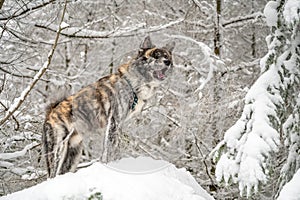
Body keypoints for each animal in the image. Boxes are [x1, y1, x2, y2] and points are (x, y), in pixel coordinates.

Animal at [41, 36, 173, 178]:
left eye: (167, 56)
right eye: (156, 55)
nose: (167, 62)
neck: (133, 84)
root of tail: (51, 113)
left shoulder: (118, 126)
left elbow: (115, 148)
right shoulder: (113, 122)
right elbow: (110, 150)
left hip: (73, 154)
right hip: (57, 150)